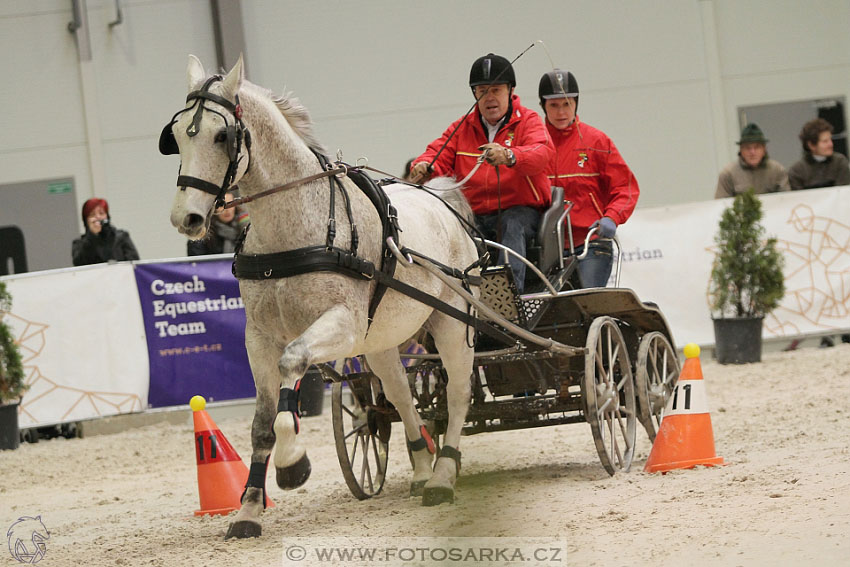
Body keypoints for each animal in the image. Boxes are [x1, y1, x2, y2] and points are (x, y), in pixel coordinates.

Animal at [165, 55, 480, 540]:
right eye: (178, 134)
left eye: (222, 136)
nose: (188, 218)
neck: (294, 229)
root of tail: (442, 198)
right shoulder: (259, 337)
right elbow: (262, 424)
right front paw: (248, 513)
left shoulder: (340, 326)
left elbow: (291, 374)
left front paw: (293, 465)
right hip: (382, 340)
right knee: (400, 392)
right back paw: (421, 468)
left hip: (452, 321)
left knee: (460, 393)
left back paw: (442, 477)